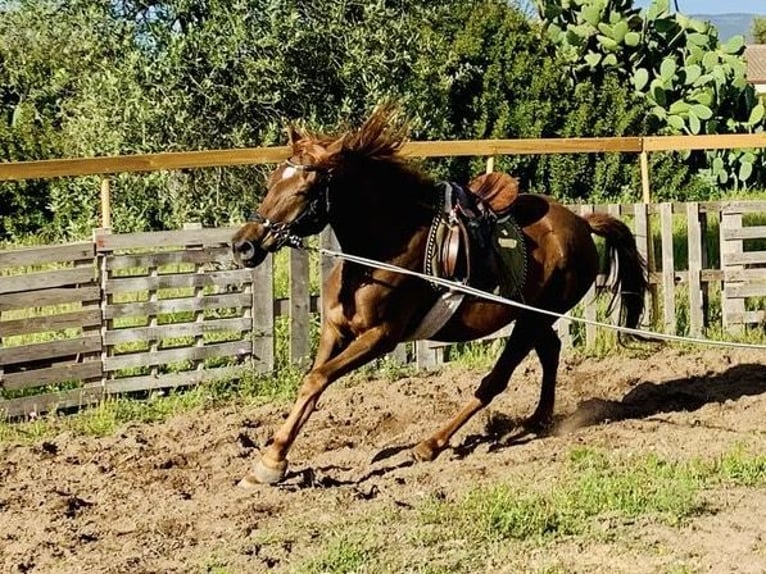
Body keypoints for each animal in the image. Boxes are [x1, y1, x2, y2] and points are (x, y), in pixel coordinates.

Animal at [231, 106, 648, 486]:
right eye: (271, 182)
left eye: (304, 190)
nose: (243, 245)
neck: (379, 252)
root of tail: (582, 224)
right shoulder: (335, 329)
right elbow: (312, 382)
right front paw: (273, 456)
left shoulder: (381, 337)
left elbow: (318, 379)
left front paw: (270, 463)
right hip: (530, 315)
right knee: (550, 350)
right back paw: (537, 419)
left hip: (535, 316)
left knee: (496, 380)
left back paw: (432, 444)